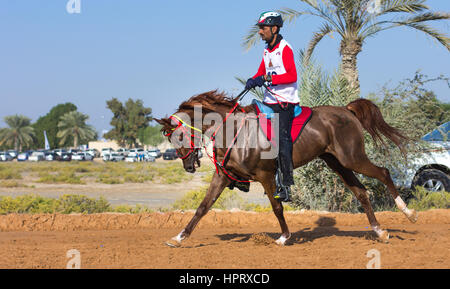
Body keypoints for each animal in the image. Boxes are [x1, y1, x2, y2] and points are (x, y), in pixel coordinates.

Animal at [155, 89, 418, 245]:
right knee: (361, 193)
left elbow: (277, 207)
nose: (188, 166)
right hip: (338, 163)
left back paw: (408, 212)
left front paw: (284, 237)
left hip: (352, 158)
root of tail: (346, 110)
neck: (234, 131)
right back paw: (380, 231)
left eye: (179, 135)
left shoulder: (266, 176)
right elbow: (203, 207)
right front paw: (179, 237)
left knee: (383, 173)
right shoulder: (222, 177)